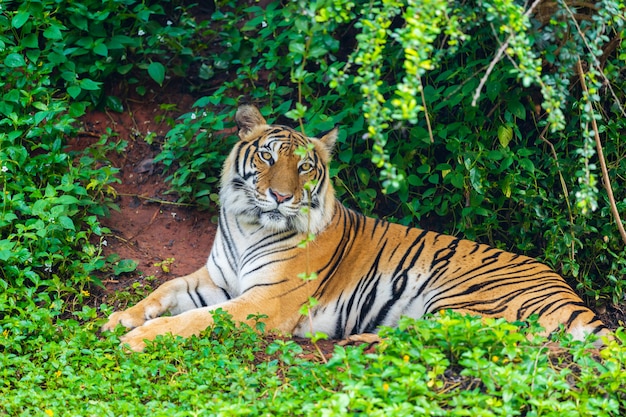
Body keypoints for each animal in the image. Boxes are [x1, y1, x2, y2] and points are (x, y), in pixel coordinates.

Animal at [101, 104, 604, 352]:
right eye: (266, 156)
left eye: (304, 167)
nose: (280, 196)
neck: (249, 224)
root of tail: (574, 297)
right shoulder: (217, 279)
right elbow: (165, 290)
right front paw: (120, 318)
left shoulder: (265, 301)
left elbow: (193, 320)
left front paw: (136, 339)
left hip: (465, 298)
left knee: (450, 334)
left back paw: (355, 340)